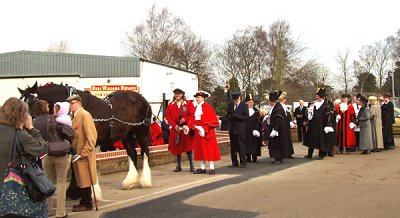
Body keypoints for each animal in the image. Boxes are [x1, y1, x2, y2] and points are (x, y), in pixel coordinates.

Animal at [18, 82, 154, 190]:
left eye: (31, 102)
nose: (24, 126)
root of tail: (143, 99)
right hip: (127, 135)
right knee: (132, 153)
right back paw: (130, 182)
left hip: (141, 131)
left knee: (144, 152)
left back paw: (145, 181)